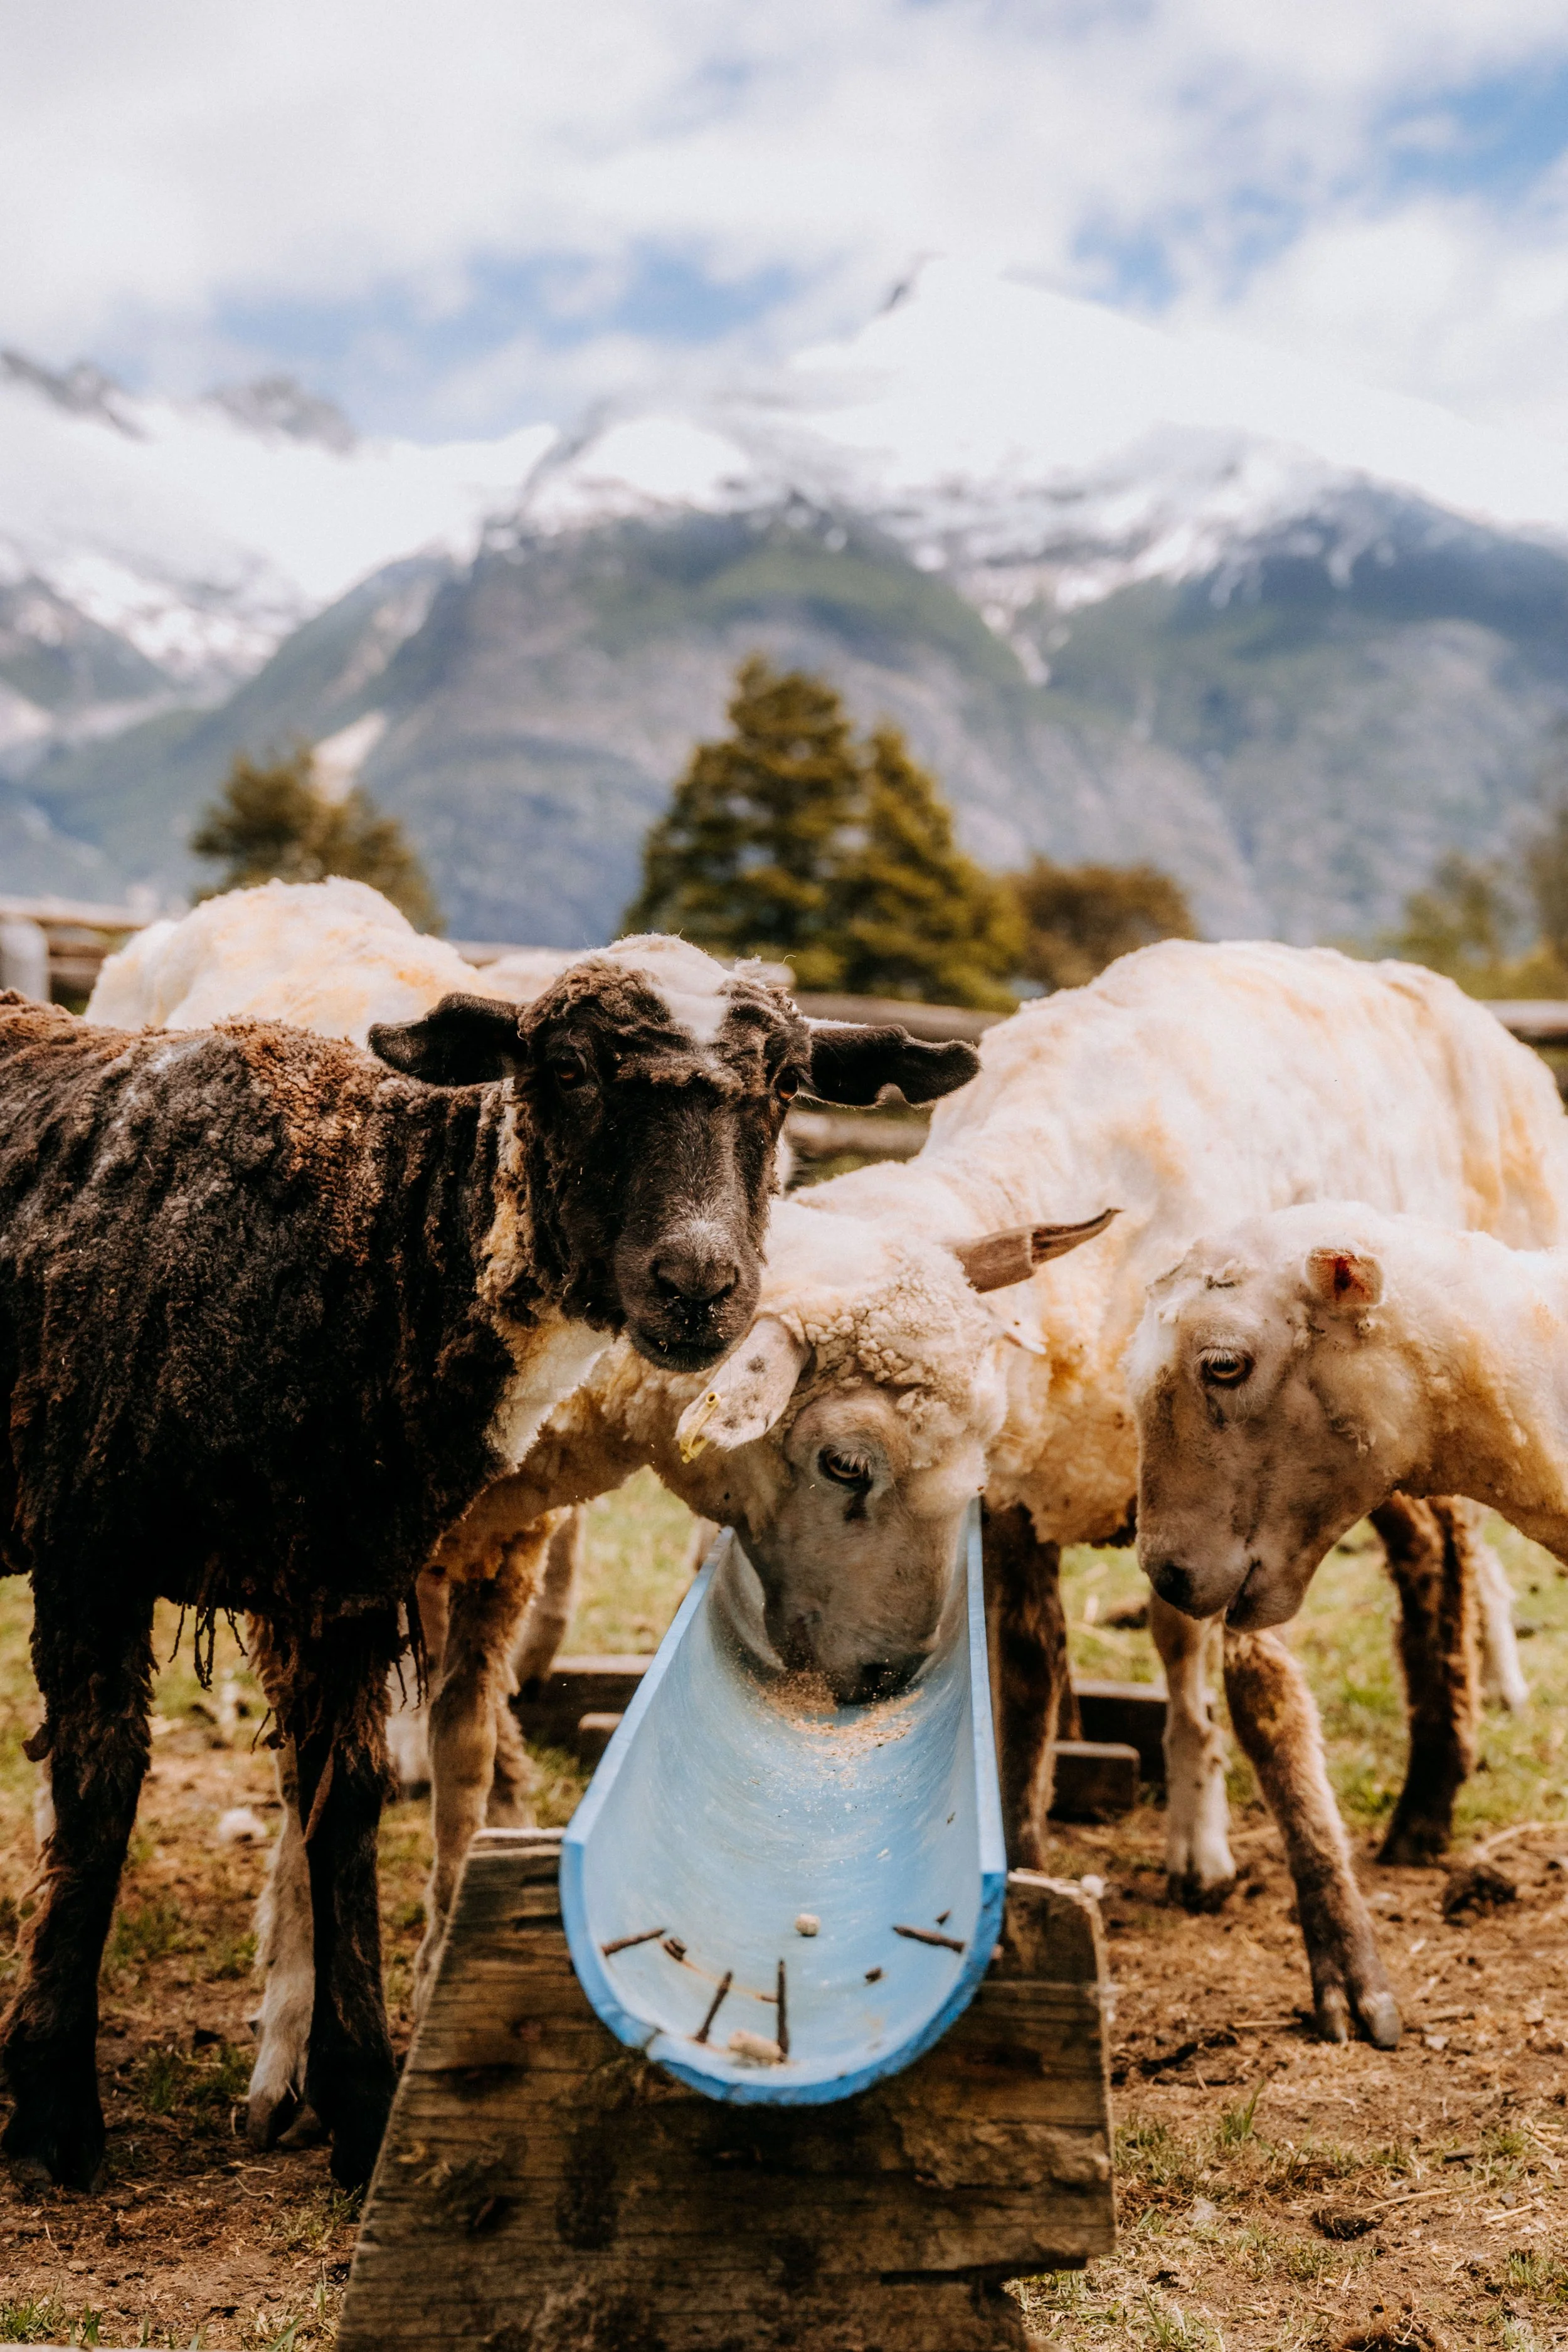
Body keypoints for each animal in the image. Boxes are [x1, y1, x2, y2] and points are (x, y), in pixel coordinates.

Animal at [0, 924, 976, 2195]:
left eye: (783, 1085)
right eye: (562, 1070)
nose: (698, 1285)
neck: (366, 1232)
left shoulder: (353, 1574)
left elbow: (347, 1804)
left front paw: (364, 2098)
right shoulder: (93, 1545)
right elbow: (104, 1798)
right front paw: (58, 2108)